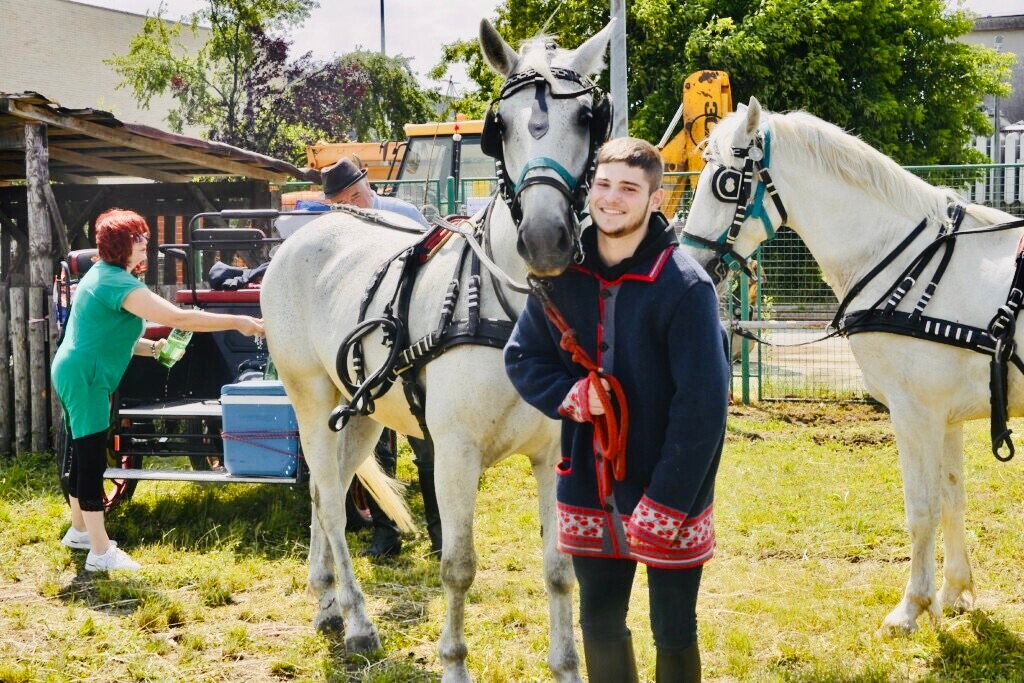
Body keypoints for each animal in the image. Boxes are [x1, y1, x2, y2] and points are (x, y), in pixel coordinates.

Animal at [264, 18, 610, 679]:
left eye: (588, 120)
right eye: (500, 127)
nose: (545, 239)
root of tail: (310, 227)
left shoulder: (554, 454)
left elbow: (560, 570)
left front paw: (567, 665)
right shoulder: (453, 455)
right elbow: (458, 566)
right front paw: (453, 663)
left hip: (362, 413)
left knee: (327, 490)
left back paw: (327, 602)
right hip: (310, 399)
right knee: (331, 500)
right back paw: (358, 621)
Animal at [679, 98, 1024, 638]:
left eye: (726, 183)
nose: (690, 257)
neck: (899, 255)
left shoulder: (915, 413)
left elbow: (921, 509)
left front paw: (911, 607)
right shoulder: (945, 416)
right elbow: (952, 500)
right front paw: (954, 593)